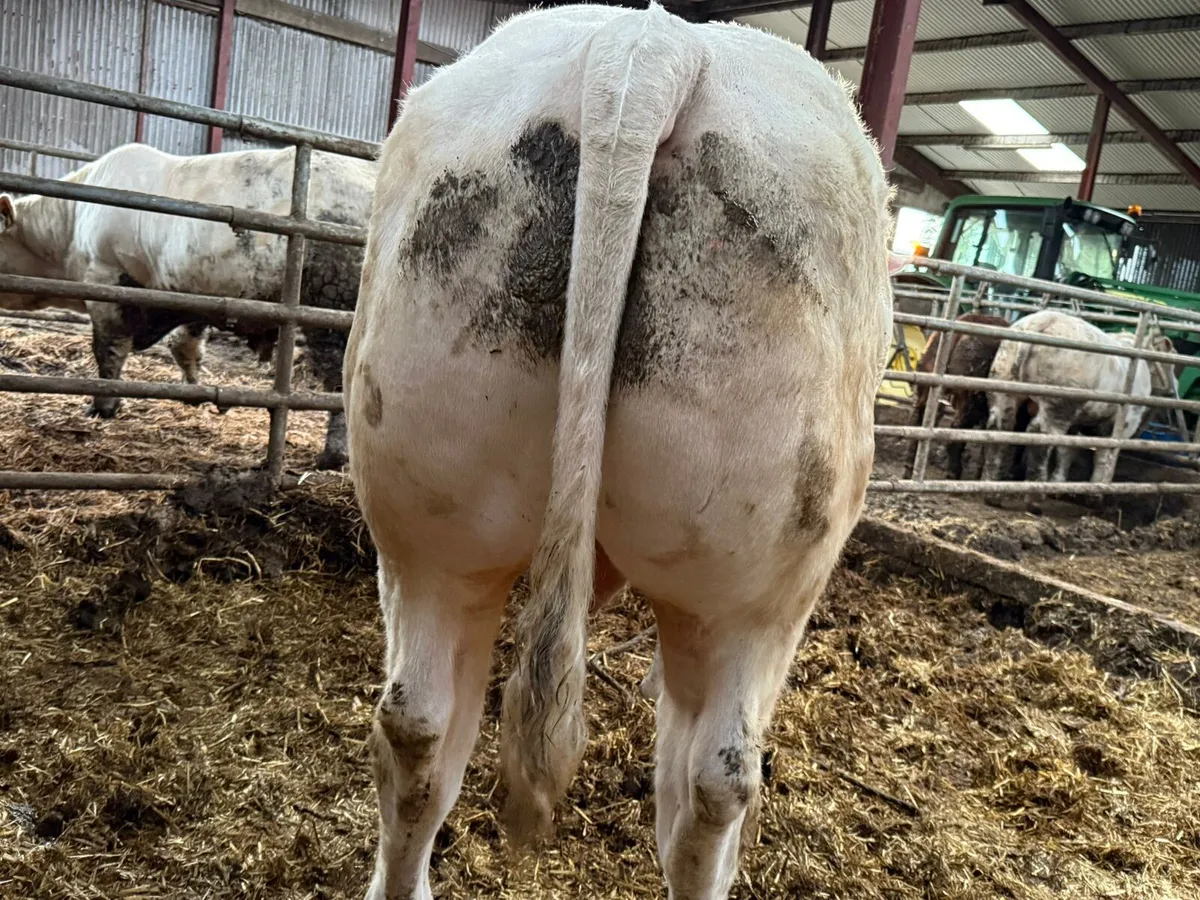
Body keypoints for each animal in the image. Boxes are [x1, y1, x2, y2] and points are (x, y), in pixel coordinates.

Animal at [0, 142, 377, 469]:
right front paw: (197, 392)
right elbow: (184, 346)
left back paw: (335, 454)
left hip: (333, 303)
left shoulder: (105, 280)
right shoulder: (190, 294)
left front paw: (103, 405)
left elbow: (109, 351)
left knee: (340, 380)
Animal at [903, 312, 1012, 480]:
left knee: (918, 419)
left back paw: (909, 467)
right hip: (971, 400)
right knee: (956, 432)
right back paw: (953, 473)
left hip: (926, 386)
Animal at [982, 309, 1176, 486]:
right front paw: (1098, 485)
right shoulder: (1125, 421)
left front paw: (1058, 480)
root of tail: (1040, 322)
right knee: (1041, 436)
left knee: (1000, 428)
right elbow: (1105, 454)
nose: (1173, 389)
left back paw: (990, 480)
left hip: (1003, 386)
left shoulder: (1077, 421)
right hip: (1059, 402)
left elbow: (1066, 450)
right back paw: (1035, 488)